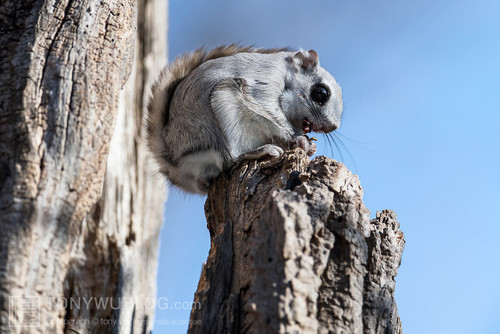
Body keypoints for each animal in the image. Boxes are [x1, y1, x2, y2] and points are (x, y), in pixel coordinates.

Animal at [145, 45, 344, 194]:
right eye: (321, 93)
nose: (330, 127)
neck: (285, 73)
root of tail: (176, 164)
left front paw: (309, 146)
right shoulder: (264, 84)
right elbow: (273, 116)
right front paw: (299, 139)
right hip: (223, 106)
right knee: (230, 161)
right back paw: (260, 151)